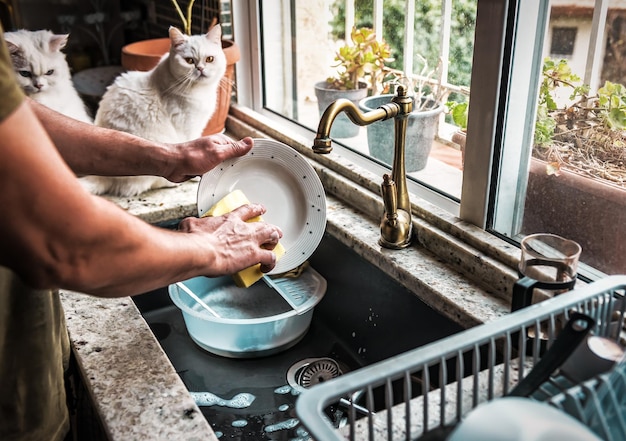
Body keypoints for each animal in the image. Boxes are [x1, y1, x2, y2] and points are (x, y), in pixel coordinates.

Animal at [80, 24, 225, 196]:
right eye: (189, 60)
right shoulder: (188, 127)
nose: (200, 68)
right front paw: (197, 176)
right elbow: (191, 143)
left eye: (210, 59)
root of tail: (100, 176)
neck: (201, 91)